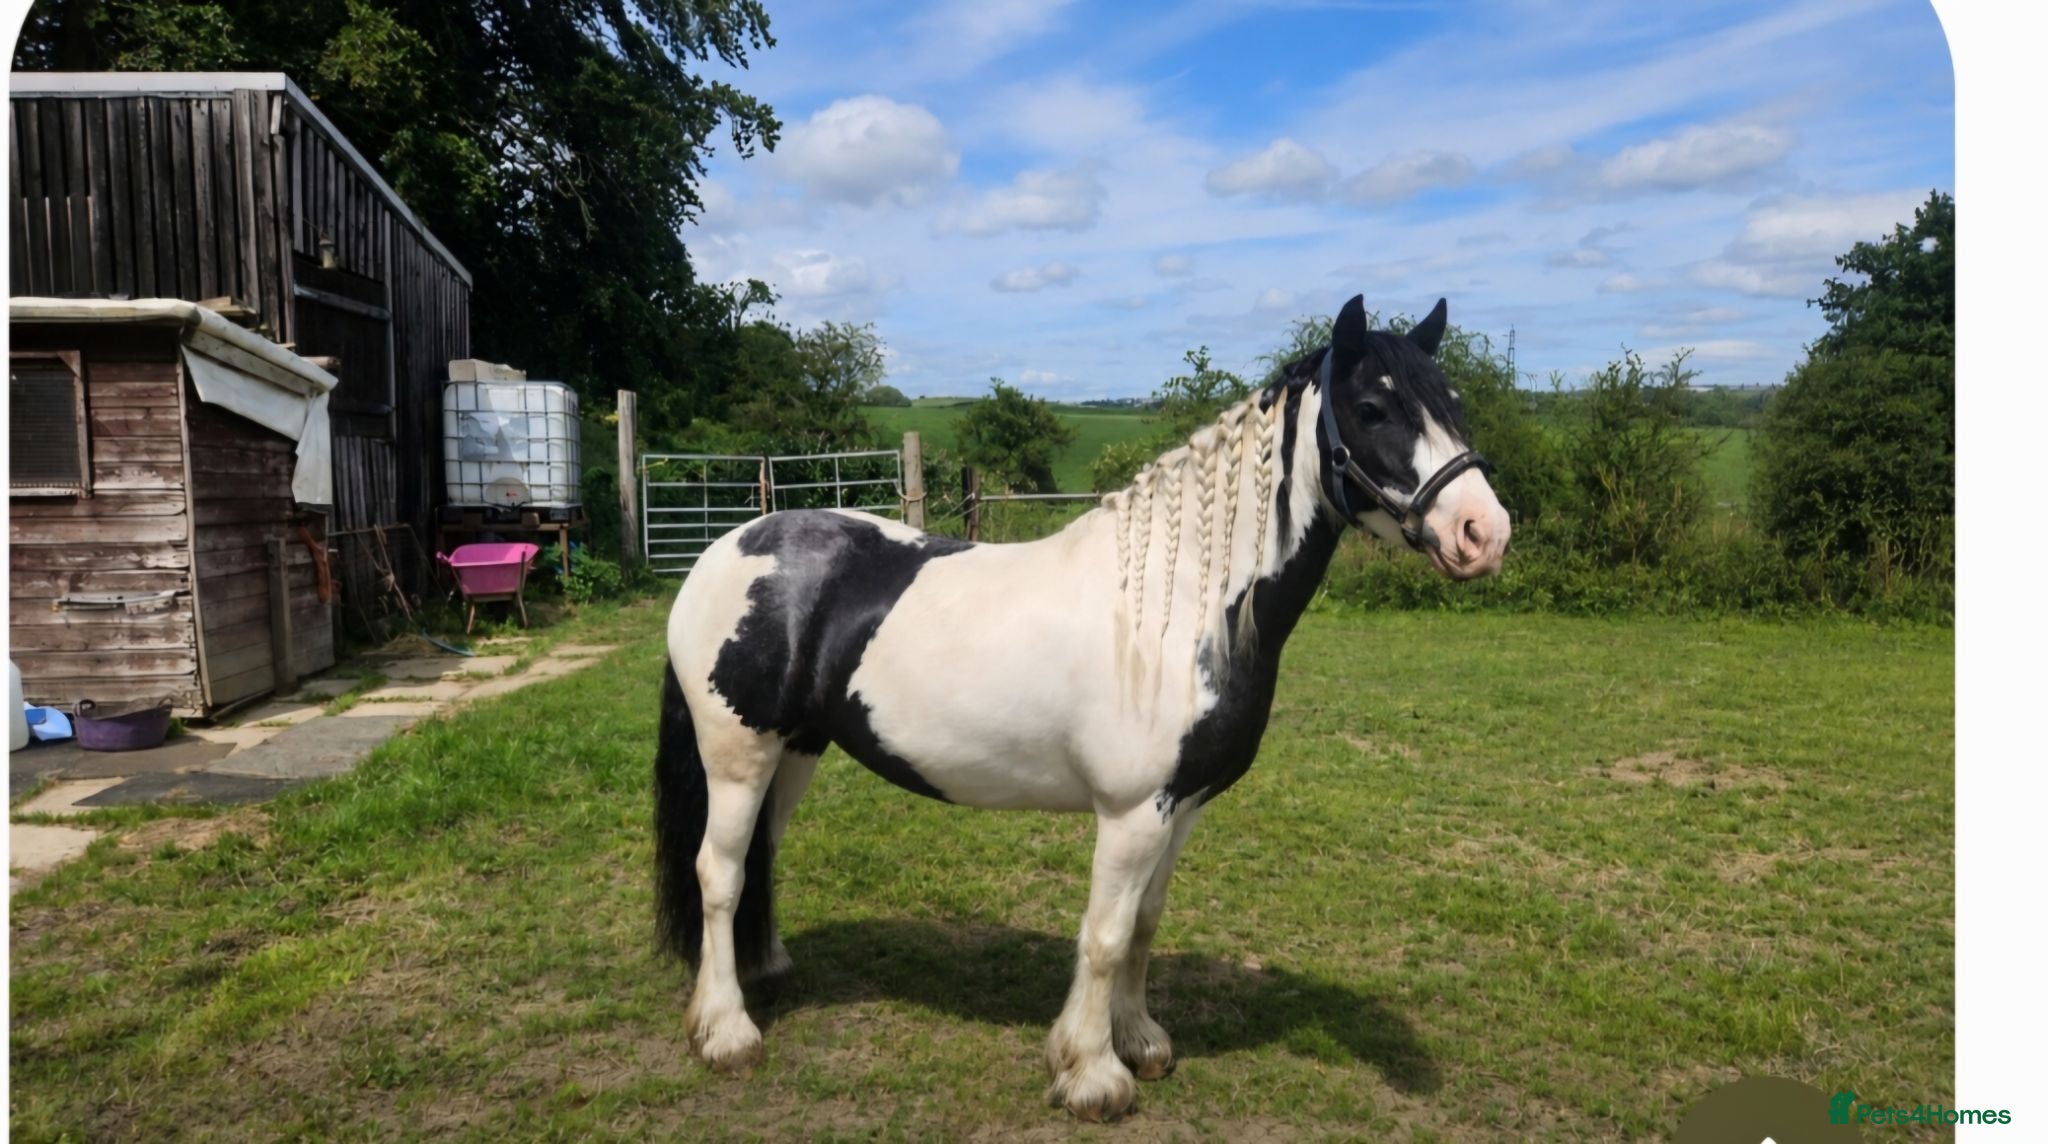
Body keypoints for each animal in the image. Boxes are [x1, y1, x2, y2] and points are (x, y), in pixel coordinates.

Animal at [653, 294, 1510, 1121]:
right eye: (1373, 408)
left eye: (1453, 403)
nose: (1485, 532)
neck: (1178, 607)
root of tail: (723, 551)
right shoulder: (1132, 812)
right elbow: (1105, 935)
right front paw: (1092, 1075)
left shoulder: (1182, 806)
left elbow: (1145, 926)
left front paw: (1140, 1042)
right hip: (738, 755)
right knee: (719, 871)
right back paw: (726, 1030)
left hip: (795, 750)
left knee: (759, 855)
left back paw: (767, 971)